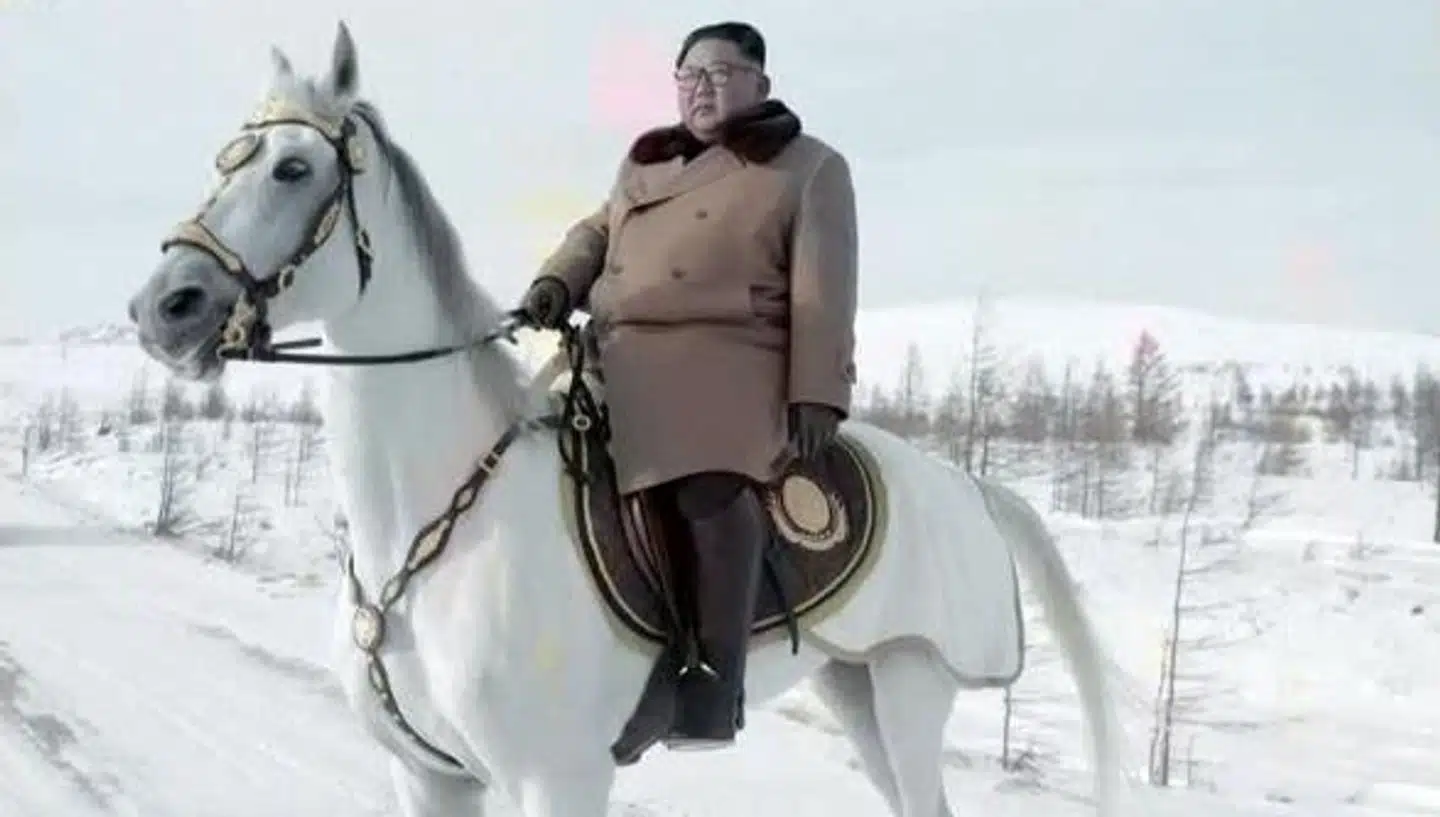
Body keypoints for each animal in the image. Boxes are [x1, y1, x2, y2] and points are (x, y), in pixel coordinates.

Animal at [125, 22, 1125, 817]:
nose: (164, 307)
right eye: (224, 160)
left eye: (294, 168)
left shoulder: (558, 780)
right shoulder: (431, 775)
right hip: (857, 686)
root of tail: (970, 487)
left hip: (911, 687)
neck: (436, 520)